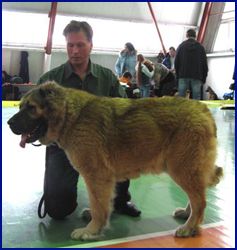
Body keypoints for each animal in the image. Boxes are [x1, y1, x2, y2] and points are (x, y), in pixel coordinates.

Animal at [6, 82, 222, 240]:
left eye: (31, 108)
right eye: (20, 106)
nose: (9, 123)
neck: (70, 116)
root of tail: (203, 109)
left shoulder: (96, 176)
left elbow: (98, 206)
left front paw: (91, 230)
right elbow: (101, 204)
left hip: (182, 169)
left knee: (200, 201)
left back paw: (190, 227)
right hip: (186, 170)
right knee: (198, 198)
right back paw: (188, 216)